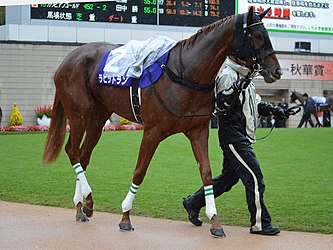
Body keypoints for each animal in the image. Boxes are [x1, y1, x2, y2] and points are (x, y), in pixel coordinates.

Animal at [42, 6, 280, 237]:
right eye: (258, 36)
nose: (276, 70)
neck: (185, 73)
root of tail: (67, 60)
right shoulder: (152, 131)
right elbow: (140, 171)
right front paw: (125, 216)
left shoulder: (198, 130)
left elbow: (206, 173)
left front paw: (214, 221)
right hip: (79, 114)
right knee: (72, 150)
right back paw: (87, 200)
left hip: (98, 118)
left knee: (83, 156)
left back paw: (82, 206)